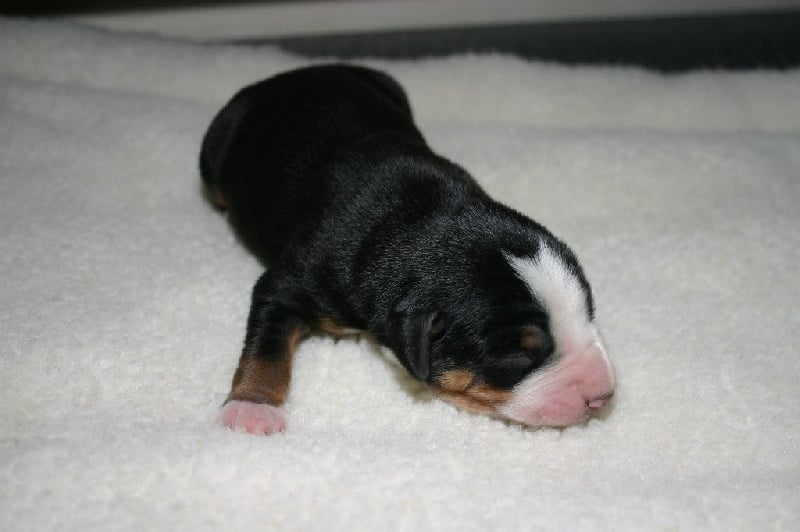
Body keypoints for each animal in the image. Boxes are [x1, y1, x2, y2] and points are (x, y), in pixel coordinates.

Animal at [198, 64, 612, 434]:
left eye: (589, 314)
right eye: (517, 355)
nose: (603, 397)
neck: (413, 220)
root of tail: (287, 76)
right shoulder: (293, 279)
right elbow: (266, 345)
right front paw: (252, 408)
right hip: (214, 151)